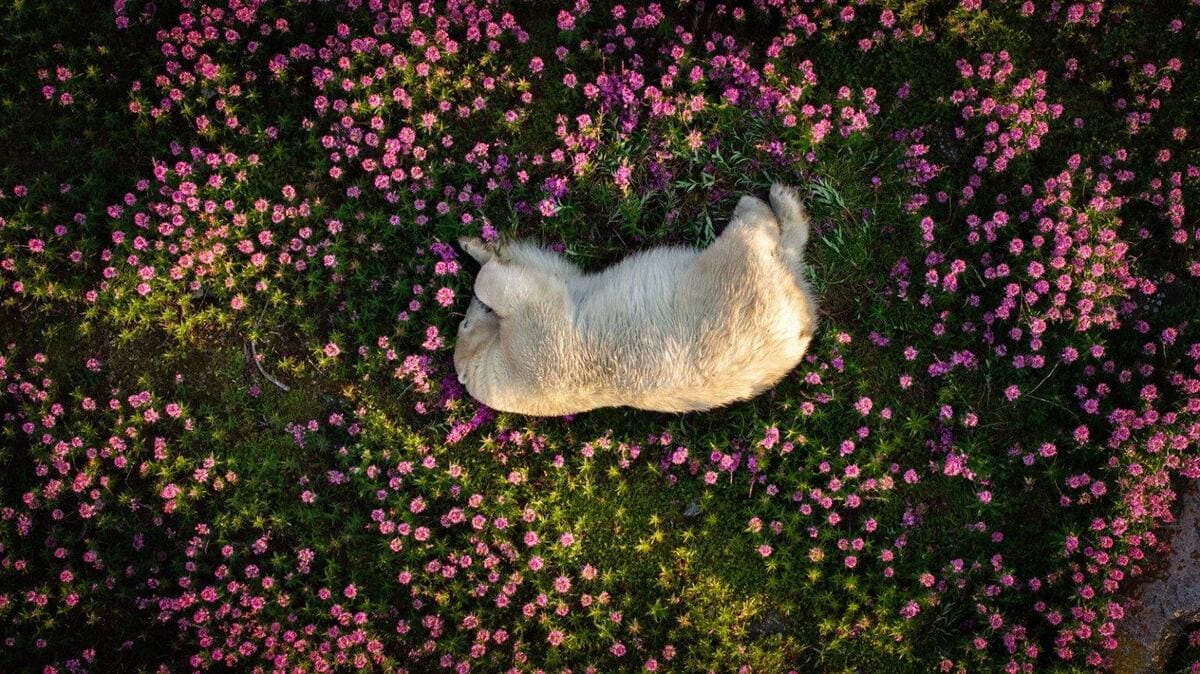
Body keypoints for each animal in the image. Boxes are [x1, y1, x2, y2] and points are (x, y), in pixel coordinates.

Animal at [451, 183, 816, 414]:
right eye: (466, 323)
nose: (471, 309)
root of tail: (798, 326)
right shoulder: (535, 352)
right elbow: (515, 285)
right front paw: (480, 254)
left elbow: (550, 269)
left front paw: (473, 245)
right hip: (735, 281)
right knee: (755, 239)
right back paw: (767, 202)